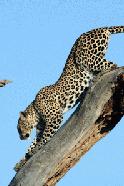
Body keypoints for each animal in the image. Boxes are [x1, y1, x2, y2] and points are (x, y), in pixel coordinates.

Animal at [15, 25, 124, 171]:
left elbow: (43, 139)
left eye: (19, 128)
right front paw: (21, 162)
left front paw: (35, 150)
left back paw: (98, 76)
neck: (35, 110)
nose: (21, 137)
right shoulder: (41, 127)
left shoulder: (55, 117)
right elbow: (33, 142)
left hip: (87, 59)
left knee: (113, 64)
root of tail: (98, 28)